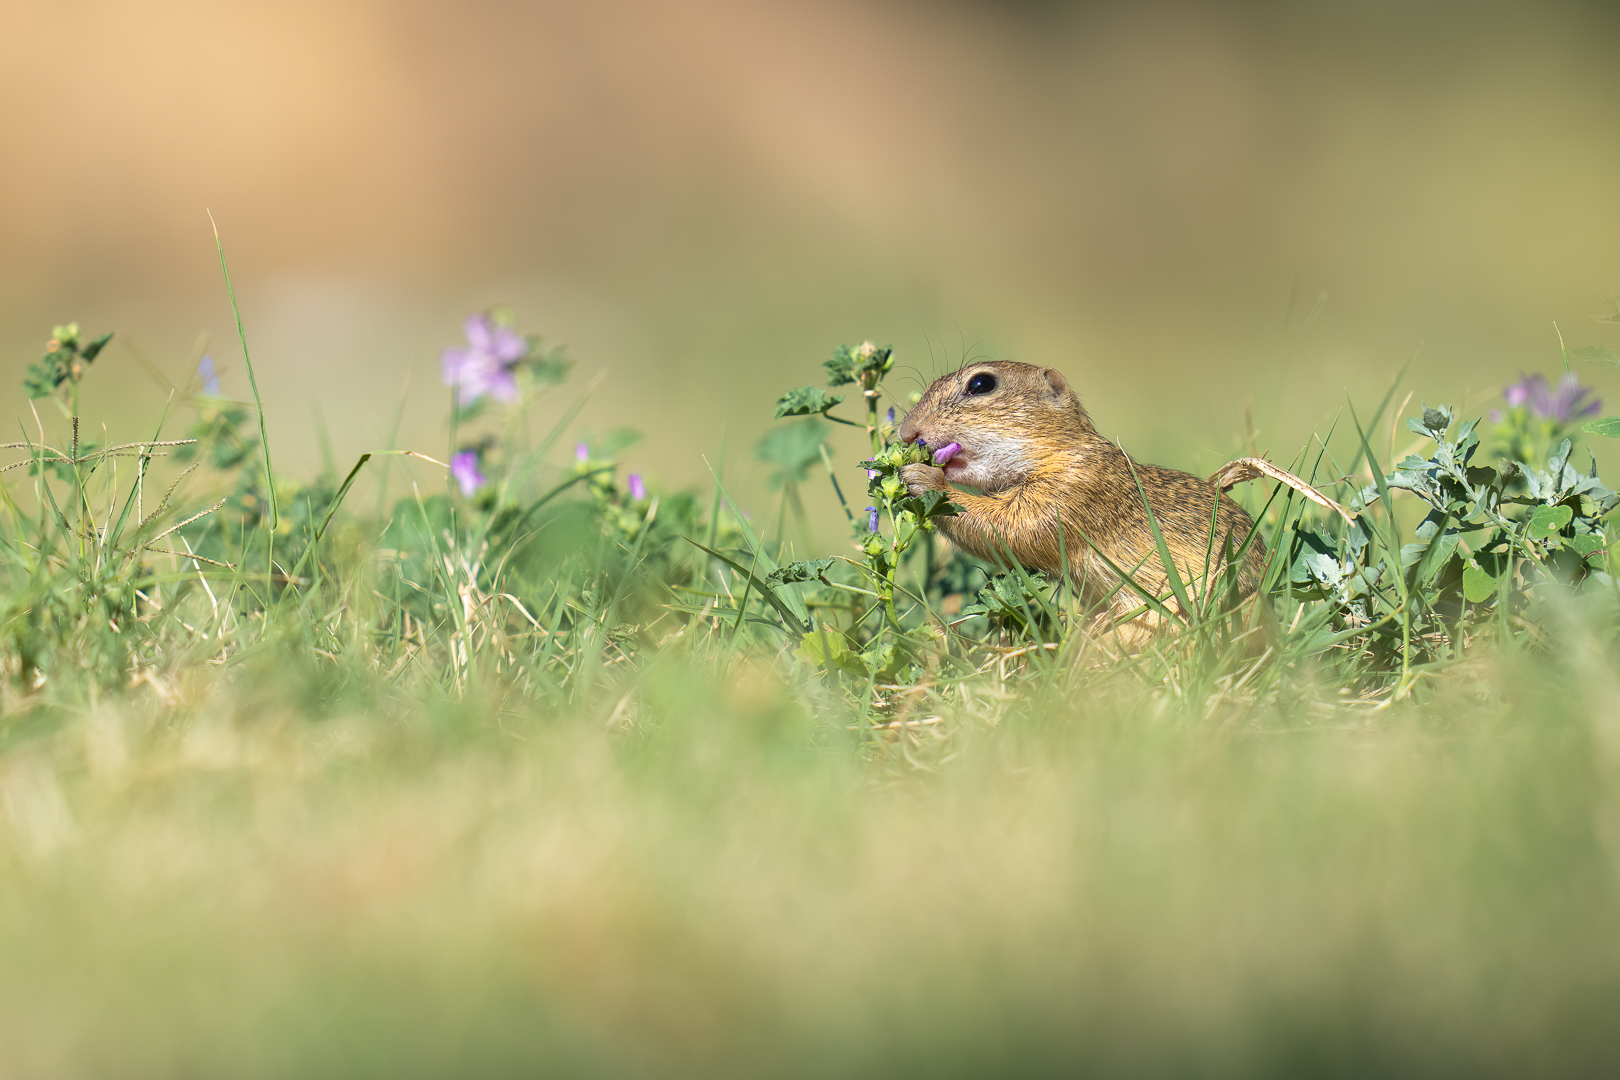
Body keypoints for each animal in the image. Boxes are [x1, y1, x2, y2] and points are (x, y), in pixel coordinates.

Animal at [900, 362, 1263, 650]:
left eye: (981, 384)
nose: (906, 433)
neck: (1061, 449)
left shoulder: (1074, 488)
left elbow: (1011, 526)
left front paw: (923, 478)